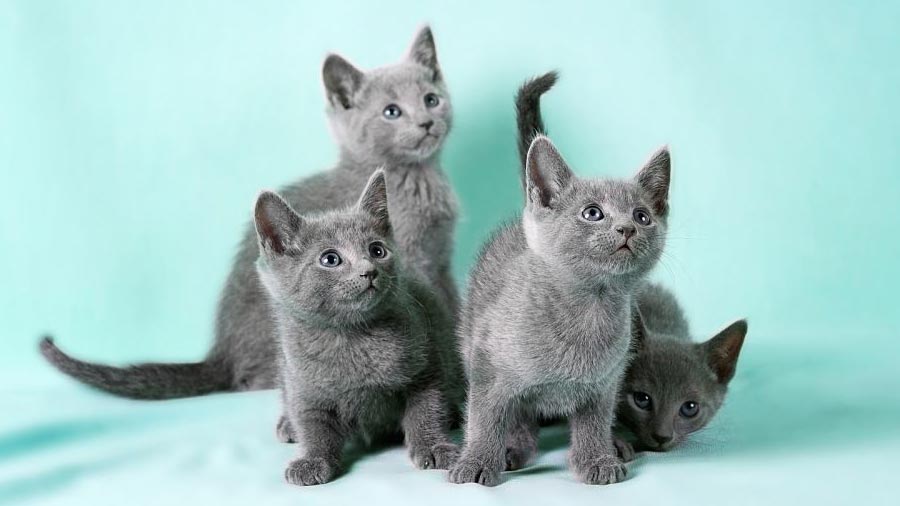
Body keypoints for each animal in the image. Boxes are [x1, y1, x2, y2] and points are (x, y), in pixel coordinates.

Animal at [39, 25, 460, 400]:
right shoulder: (413, 260)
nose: (427, 122)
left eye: (431, 99)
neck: (416, 178)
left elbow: (451, 302)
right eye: (391, 111)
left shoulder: (441, 261)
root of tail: (220, 353)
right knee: (251, 381)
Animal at [255, 171, 460, 486]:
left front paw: (433, 446)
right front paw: (312, 460)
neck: (353, 334)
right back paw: (287, 424)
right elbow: (313, 425)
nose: (369, 270)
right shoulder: (304, 385)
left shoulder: (427, 365)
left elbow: (426, 409)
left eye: (377, 250)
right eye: (330, 259)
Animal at [446, 78, 672, 482]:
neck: (590, 308)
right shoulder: (487, 367)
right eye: (592, 213)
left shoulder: (604, 383)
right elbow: (486, 418)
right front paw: (476, 462)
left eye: (643, 216)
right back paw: (513, 447)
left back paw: (615, 443)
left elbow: (595, 422)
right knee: (519, 416)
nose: (627, 228)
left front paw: (597, 458)